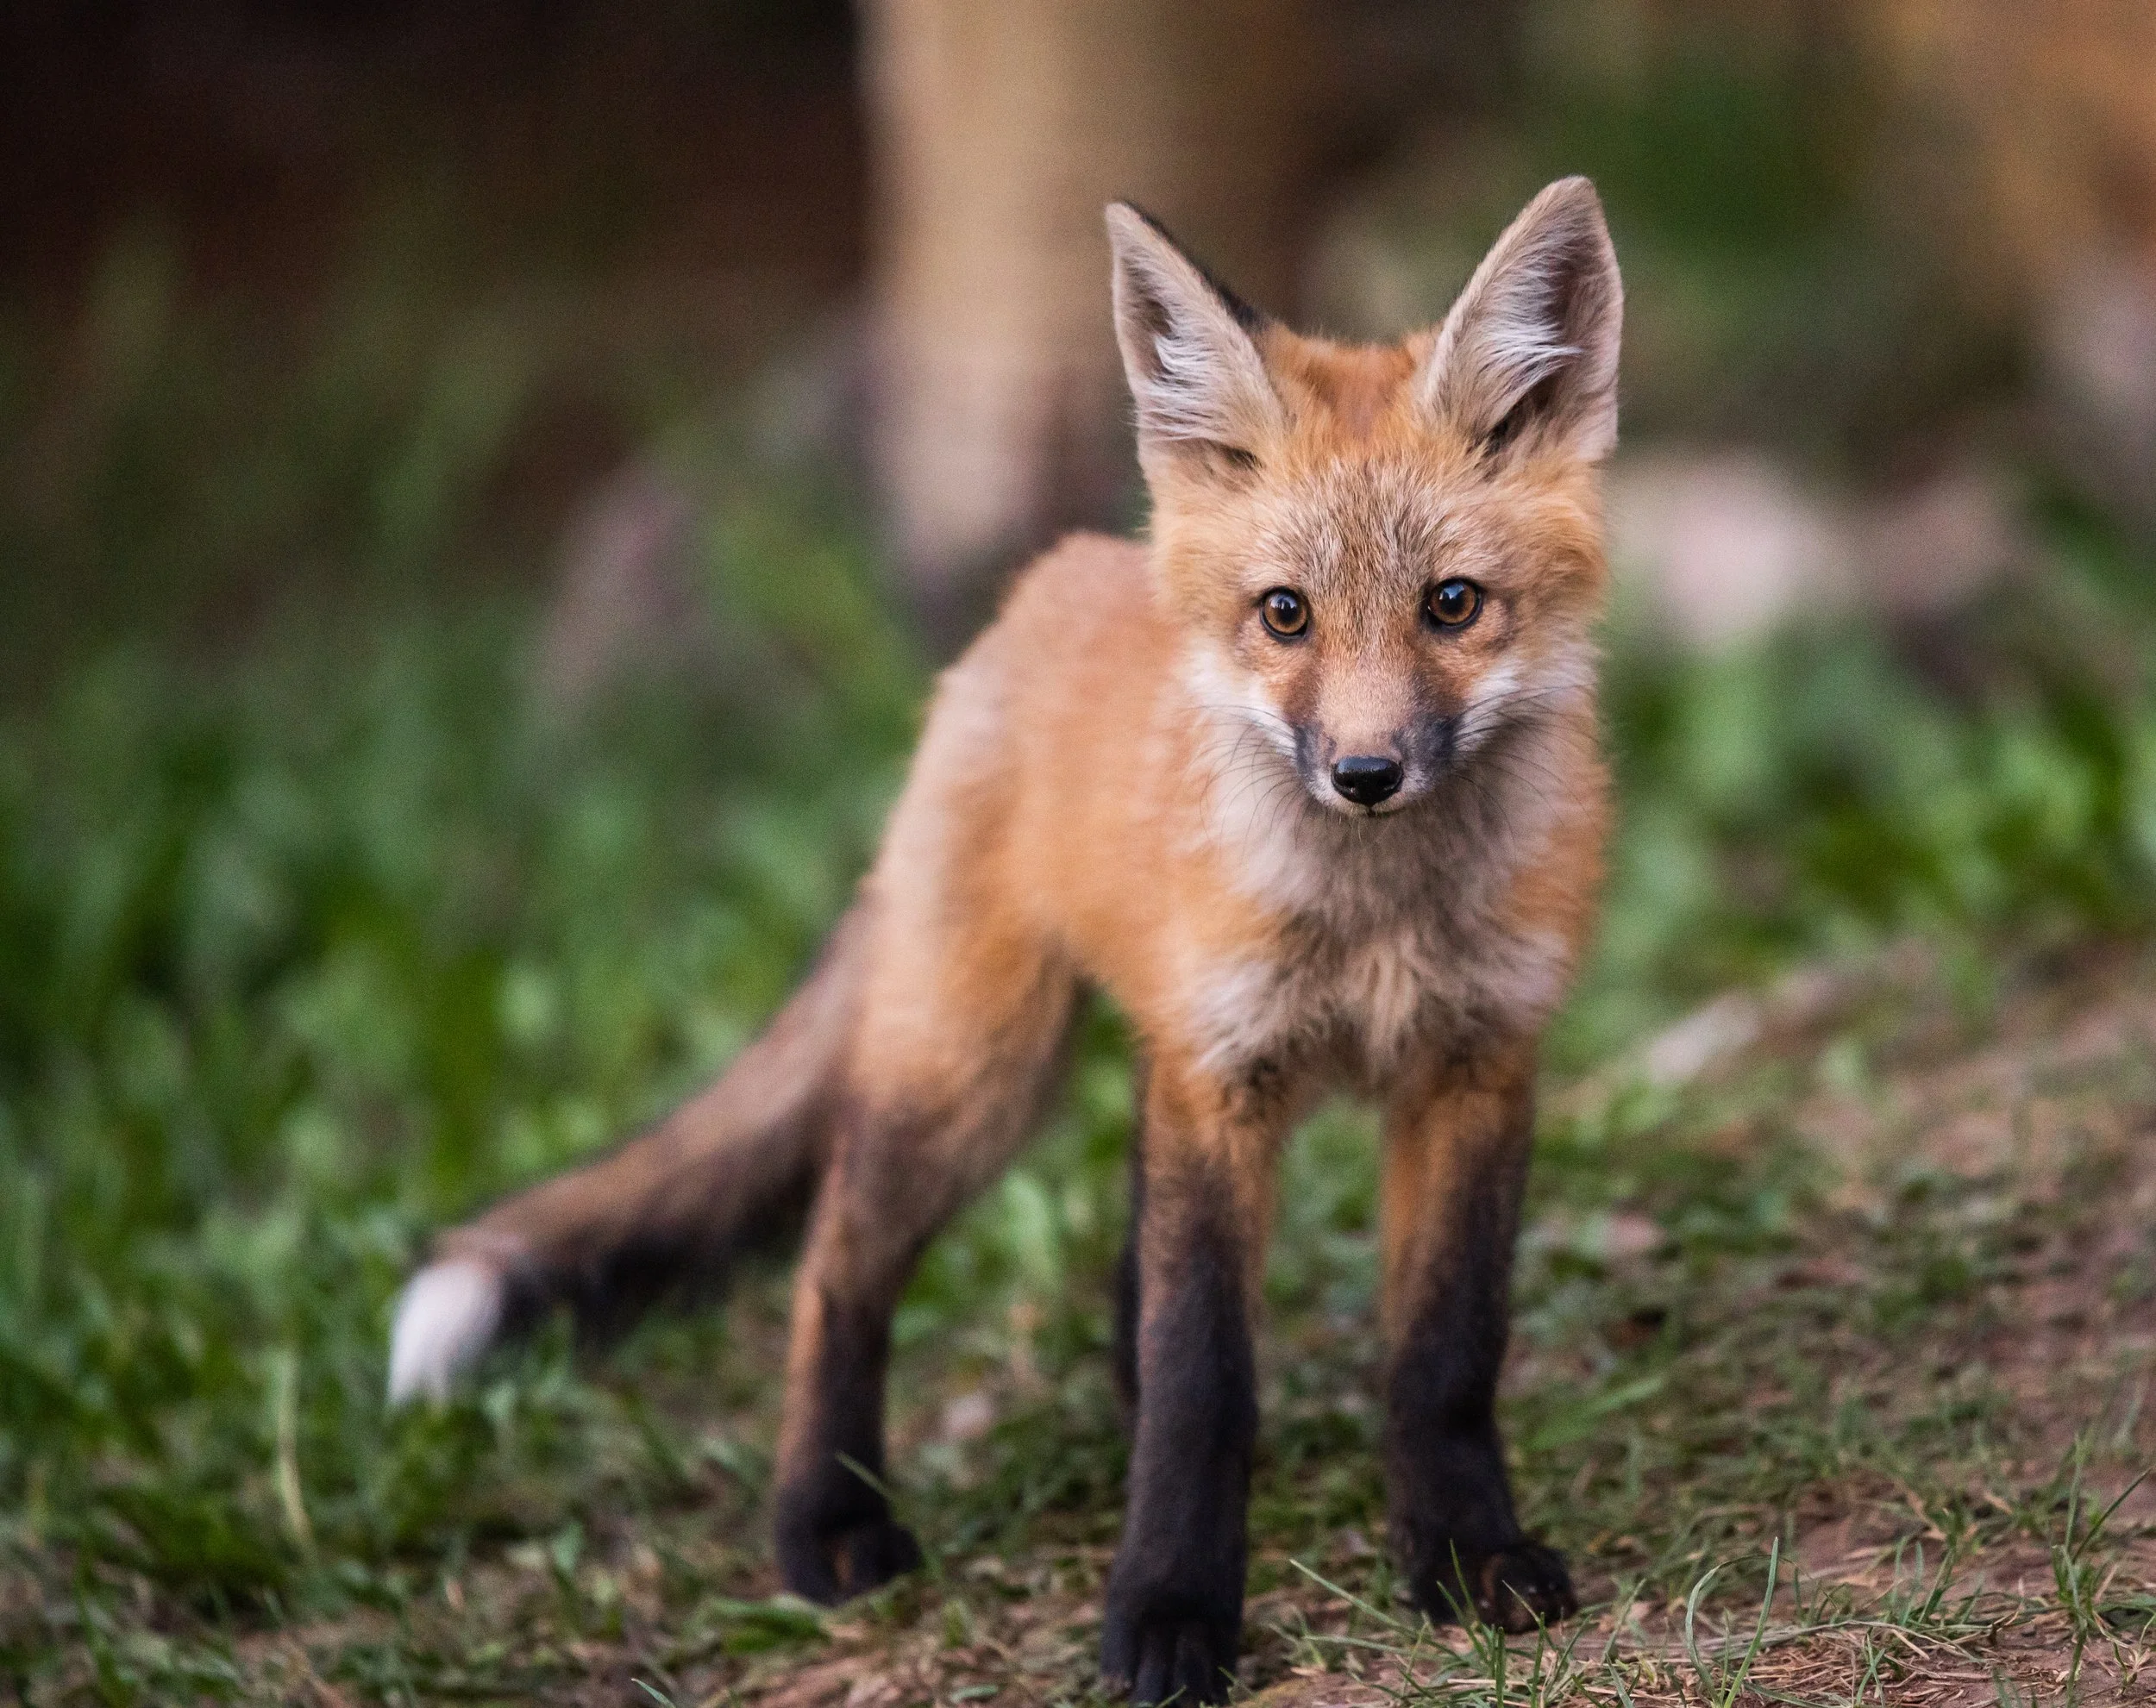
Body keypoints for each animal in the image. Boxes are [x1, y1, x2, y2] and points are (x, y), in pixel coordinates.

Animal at [389, 176, 1621, 1704]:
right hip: (975, 1069)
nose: (1366, 773)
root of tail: (1032, 592)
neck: (1375, 922)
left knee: (1117, 1254)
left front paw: (1463, 1556)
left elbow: (1444, 1356)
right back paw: (827, 1518)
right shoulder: (1225, 1076)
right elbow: (1206, 1379)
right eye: (1286, 615)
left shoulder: (1475, 1065)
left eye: (1452, 604)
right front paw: (1169, 1608)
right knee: (837, 1259)